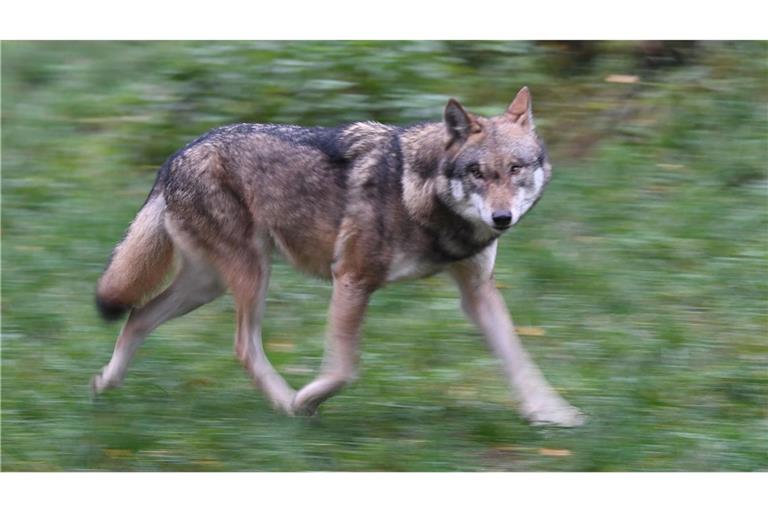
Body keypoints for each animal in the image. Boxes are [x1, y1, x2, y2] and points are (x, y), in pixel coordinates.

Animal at [92, 87, 584, 427]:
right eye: (478, 173)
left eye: (515, 169)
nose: (502, 218)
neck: (420, 195)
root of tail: (175, 156)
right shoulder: (351, 278)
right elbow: (345, 368)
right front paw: (306, 398)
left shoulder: (477, 292)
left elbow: (519, 359)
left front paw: (552, 414)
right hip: (250, 276)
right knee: (242, 347)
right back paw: (286, 404)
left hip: (208, 284)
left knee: (138, 315)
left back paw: (106, 384)